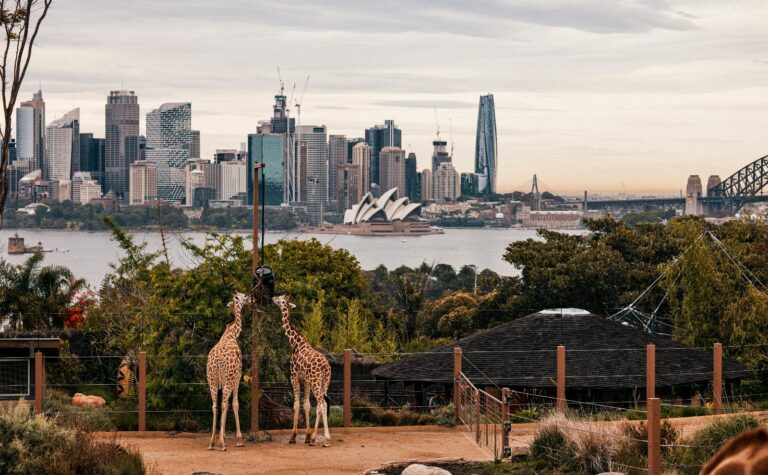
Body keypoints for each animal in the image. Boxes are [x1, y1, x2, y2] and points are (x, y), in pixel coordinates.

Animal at [206, 291, 250, 451]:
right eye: (243, 296)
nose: (249, 298)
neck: (231, 333)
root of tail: (218, 362)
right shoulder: (238, 376)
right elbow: (235, 404)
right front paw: (239, 440)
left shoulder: (221, 382)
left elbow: (221, 406)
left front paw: (222, 436)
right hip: (228, 379)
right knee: (225, 403)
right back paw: (222, 444)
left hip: (211, 380)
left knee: (214, 405)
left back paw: (212, 443)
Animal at [273, 294, 332, 447]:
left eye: (281, 299)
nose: (273, 298)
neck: (294, 343)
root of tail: (325, 367)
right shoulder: (306, 381)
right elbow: (306, 405)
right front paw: (307, 436)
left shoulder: (294, 377)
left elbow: (296, 405)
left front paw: (293, 437)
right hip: (324, 382)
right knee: (320, 405)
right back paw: (314, 438)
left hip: (316, 382)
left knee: (322, 404)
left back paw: (326, 439)